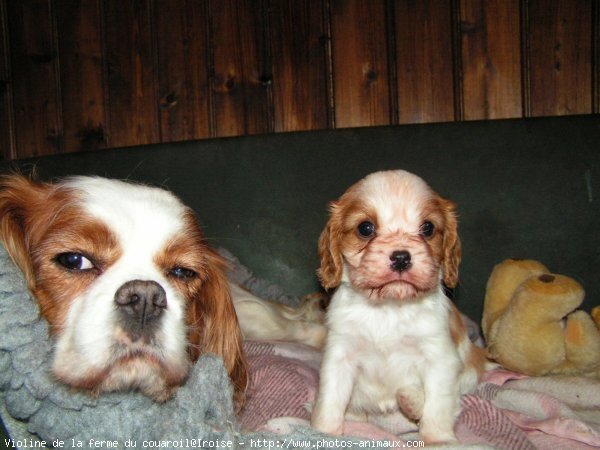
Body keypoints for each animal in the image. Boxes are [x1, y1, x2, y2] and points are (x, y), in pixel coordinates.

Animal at [310, 171, 488, 444]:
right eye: (365, 228)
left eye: (428, 228)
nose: (402, 257)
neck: (390, 307)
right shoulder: (341, 354)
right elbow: (330, 399)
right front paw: (323, 432)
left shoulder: (439, 357)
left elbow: (438, 404)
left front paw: (438, 439)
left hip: (468, 372)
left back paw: (411, 401)